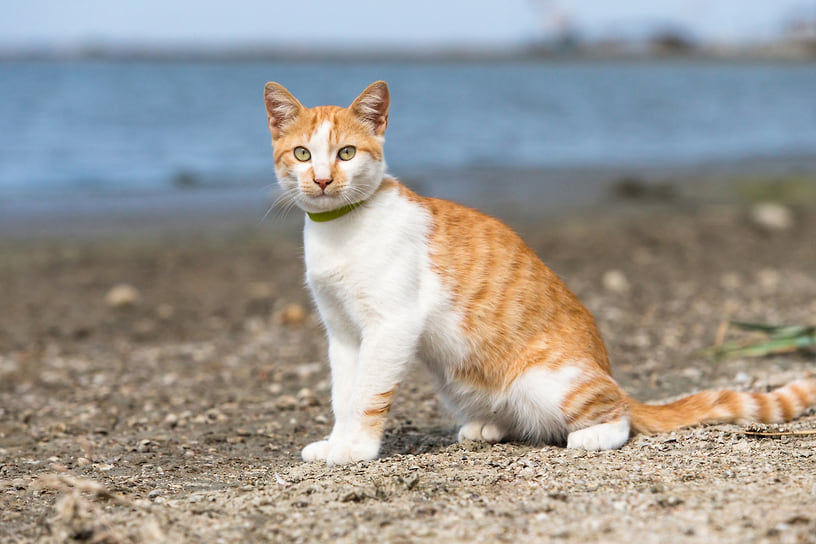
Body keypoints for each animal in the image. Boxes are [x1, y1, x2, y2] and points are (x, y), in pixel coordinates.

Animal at [264, 78, 816, 466]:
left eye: (347, 153)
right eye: (302, 153)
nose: (322, 179)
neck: (341, 230)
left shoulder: (391, 326)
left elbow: (367, 396)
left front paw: (355, 449)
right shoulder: (343, 333)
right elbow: (343, 395)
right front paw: (336, 441)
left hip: (551, 382)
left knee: (617, 415)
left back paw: (593, 435)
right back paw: (489, 426)